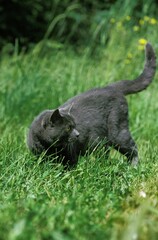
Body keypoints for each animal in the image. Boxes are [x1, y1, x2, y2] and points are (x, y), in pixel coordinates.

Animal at [27, 43, 157, 167]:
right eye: (68, 128)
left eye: (74, 126)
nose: (78, 134)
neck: (50, 148)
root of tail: (111, 87)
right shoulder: (39, 155)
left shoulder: (71, 155)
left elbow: (69, 168)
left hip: (117, 131)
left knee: (133, 148)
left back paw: (133, 167)